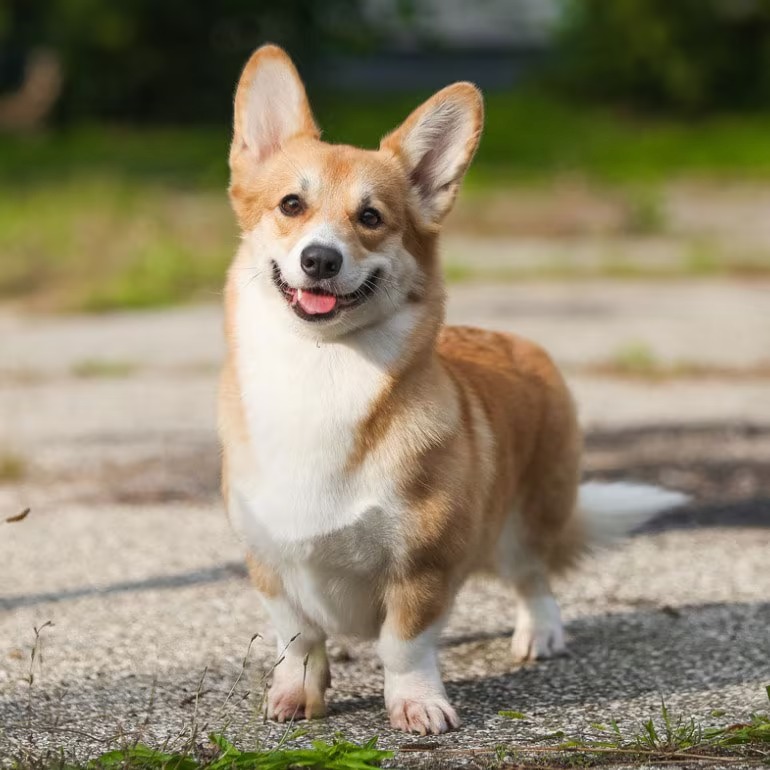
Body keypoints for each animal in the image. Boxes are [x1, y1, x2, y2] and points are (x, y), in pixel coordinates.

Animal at [219, 45, 688, 736]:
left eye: (371, 218)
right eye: (291, 206)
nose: (320, 260)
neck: (323, 367)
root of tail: (520, 342)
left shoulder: (425, 565)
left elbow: (404, 643)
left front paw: (417, 703)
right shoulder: (270, 562)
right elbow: (300, 639)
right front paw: (296, 695)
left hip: (525, 520)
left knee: (534, 575)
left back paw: (540, 632)